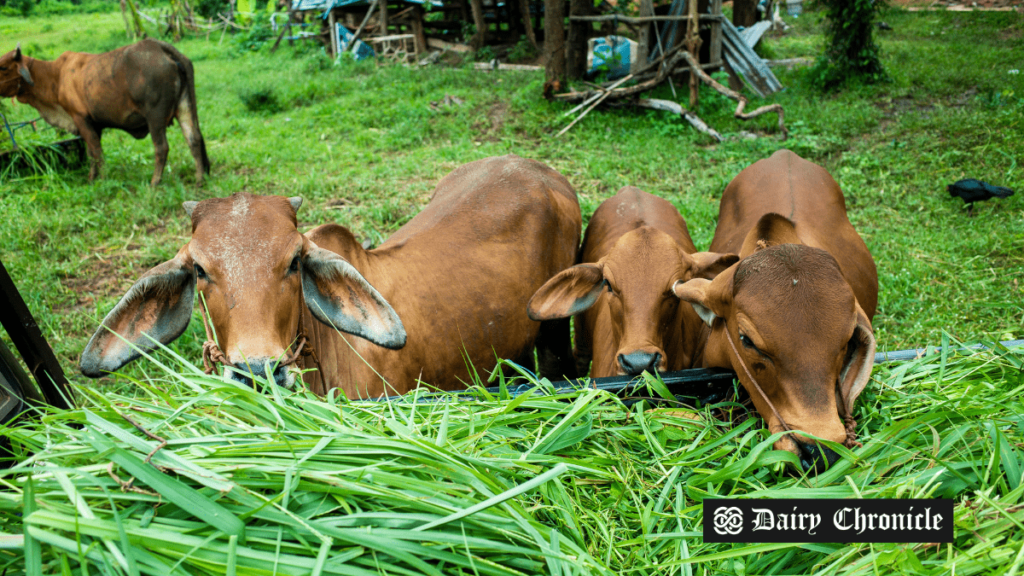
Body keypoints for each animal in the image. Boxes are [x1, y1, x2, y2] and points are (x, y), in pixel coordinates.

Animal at [0, 39, 210, 186]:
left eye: (2, 67)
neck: (55, 76)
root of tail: (161, 47)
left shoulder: (80, 118)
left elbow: (96, 152)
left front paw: (101, 179)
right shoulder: (94, 125)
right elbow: (92, 152)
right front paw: (92, 178)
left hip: (155, 117)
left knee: (162, 147)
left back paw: (154, 182)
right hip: (184, 106)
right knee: (194, 139)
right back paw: (200, 179)